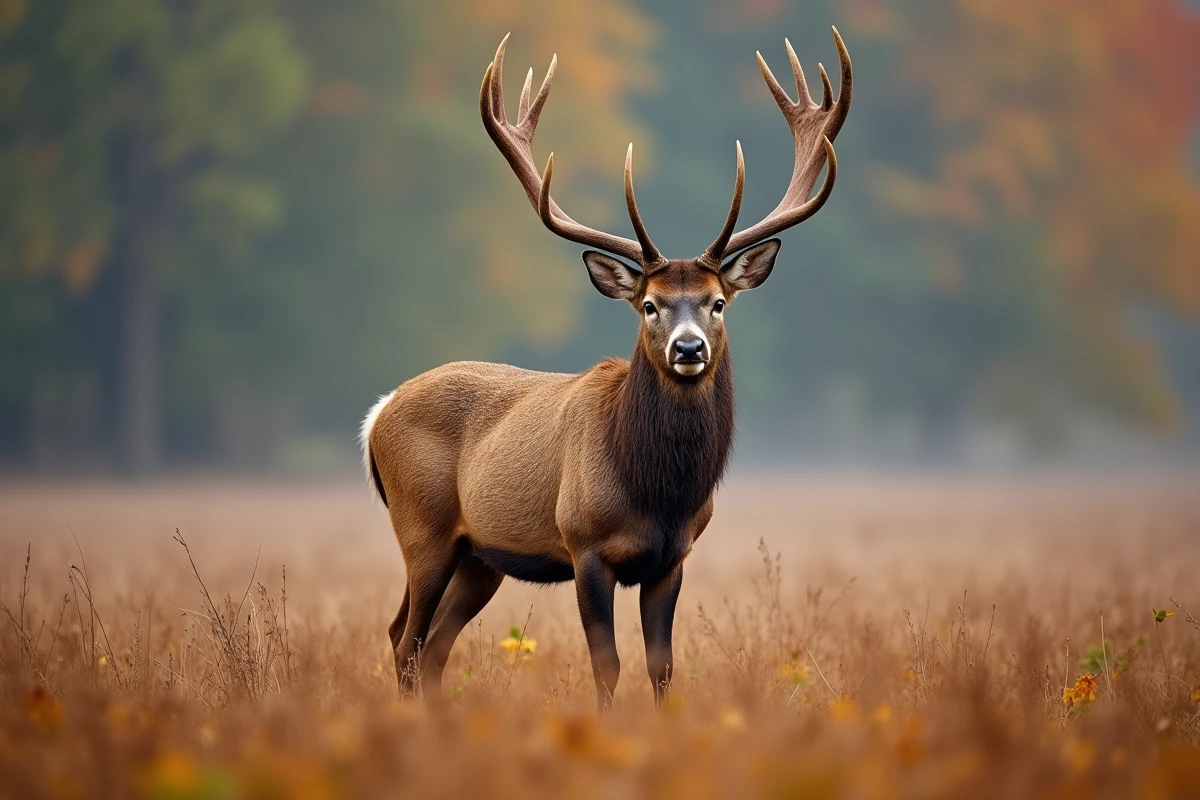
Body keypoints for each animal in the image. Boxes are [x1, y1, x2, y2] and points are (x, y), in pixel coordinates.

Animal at [362, 29, 852, 709]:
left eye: (717, 302)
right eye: (649, 304)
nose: (688, 349)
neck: (658, 493)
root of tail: (377, 414)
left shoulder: (674, 557)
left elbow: (662, 665)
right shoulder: (584, 542)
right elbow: (607, 663)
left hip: (479, 557)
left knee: (425, 642)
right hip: (421, 525)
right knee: (405, 640)